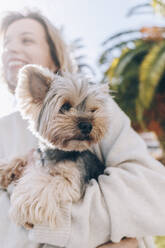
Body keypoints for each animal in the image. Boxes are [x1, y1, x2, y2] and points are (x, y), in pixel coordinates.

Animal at [0, 65, 111, 229]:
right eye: (65, 106)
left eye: (93, 110)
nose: (87, 125)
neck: (60, 152)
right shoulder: (36, 156)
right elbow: (21, 157)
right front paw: (5, 169)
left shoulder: (72, 178)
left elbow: (47, 181)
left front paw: (26, 206)